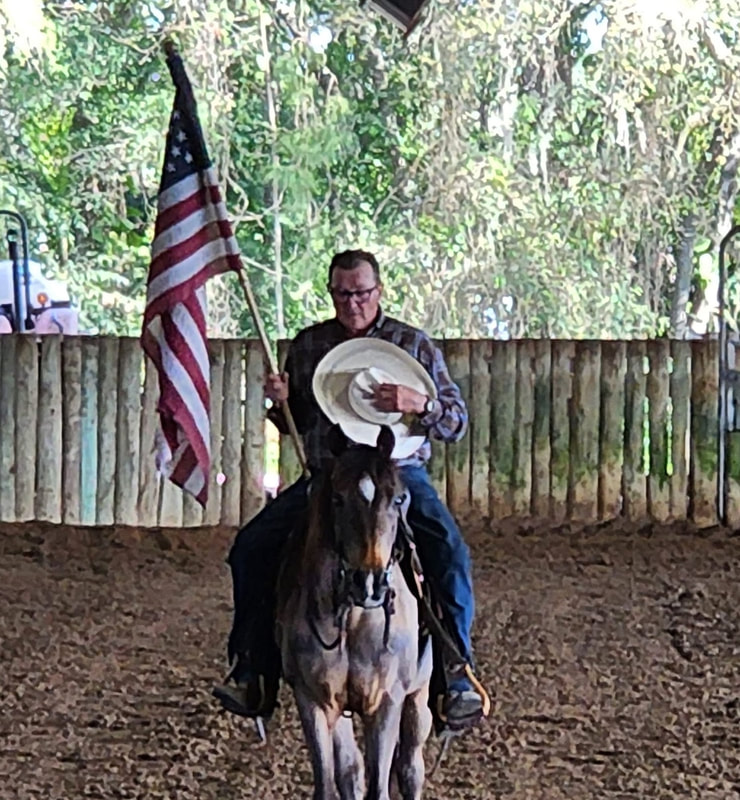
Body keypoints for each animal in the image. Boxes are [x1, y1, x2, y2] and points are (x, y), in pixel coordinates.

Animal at [274, 424, 430, 800]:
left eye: (398, 499)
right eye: (338, 499)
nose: (369, 582)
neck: (354, 620)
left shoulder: (387, 701)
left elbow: (380, 787)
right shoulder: (314, 699)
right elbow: (331, 781)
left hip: (419, 698)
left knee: (411, 767)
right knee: (351, 770)